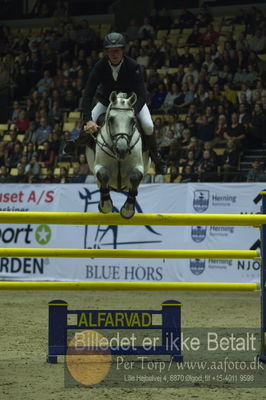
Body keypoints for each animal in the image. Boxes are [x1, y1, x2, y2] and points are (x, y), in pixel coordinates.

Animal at [86, 91, 151, 219]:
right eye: (111, 119)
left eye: (132, 121)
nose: (122, 150)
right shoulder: (98, 166)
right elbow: (103, 174)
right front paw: (105, 205)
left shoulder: (139, 166)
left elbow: (136, 176)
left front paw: (127, 210)